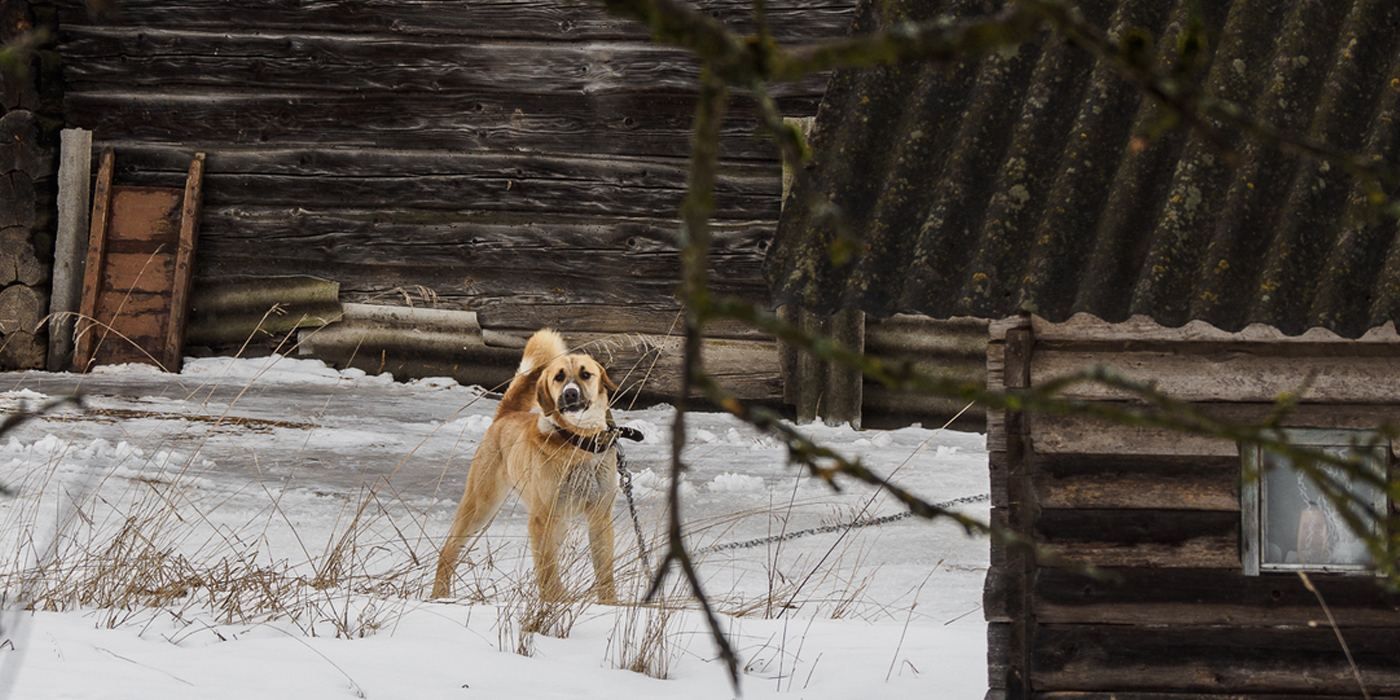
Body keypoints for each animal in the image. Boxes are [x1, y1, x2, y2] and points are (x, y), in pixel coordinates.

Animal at [428, 330, 621, 604]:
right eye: (559, 377)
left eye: (585, 374)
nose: (570, 394)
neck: (578, 443)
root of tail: (505, 415)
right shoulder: (541, 518)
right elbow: (547, 569)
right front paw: (554, 602)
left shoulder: (600, 517)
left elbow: (604, 572)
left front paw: (609, 606)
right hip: (480, 505)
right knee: (448, 550)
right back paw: (440, 596)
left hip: (557, 522)